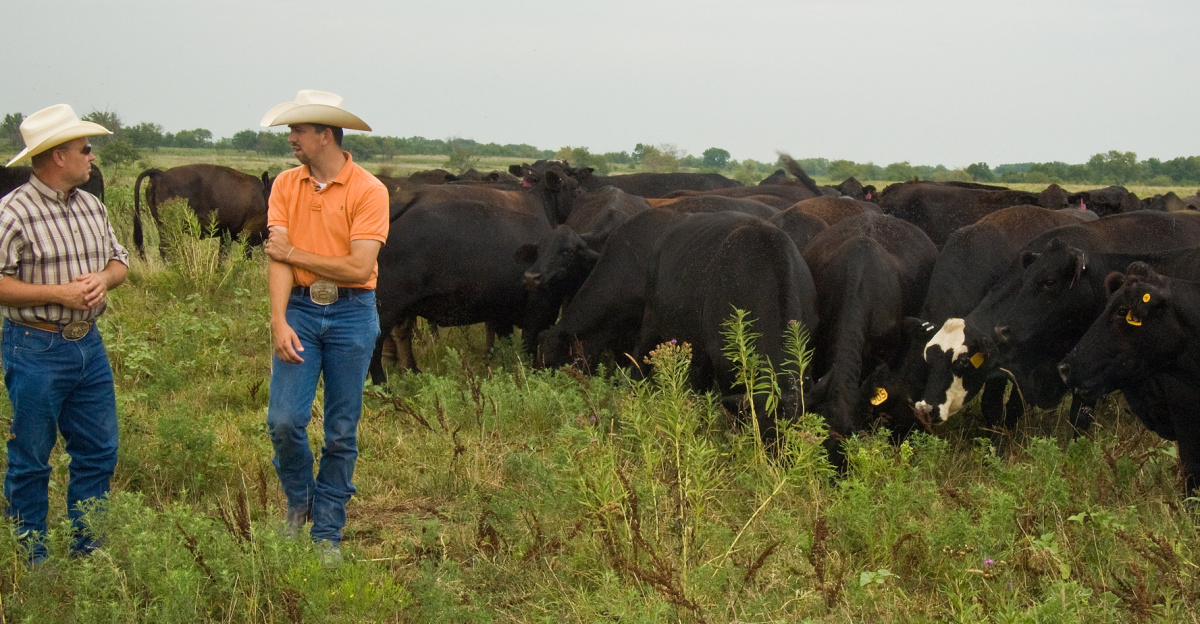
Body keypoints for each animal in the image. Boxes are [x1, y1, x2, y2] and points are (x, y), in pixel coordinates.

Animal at [132, 164, 272, 259]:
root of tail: (160, 174)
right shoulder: (248, 236)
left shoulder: (226, 234)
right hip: (170, 227)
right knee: (166, 249)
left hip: (162, 225)